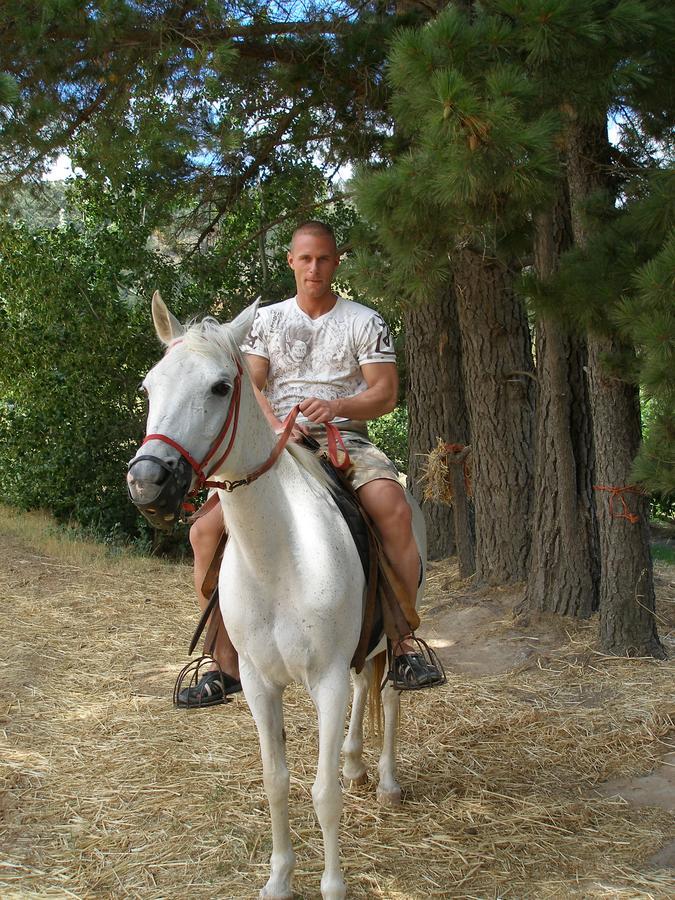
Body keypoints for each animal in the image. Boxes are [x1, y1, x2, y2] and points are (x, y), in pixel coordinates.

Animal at [127, 296, 428, 900]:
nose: (147, 481)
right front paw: (279, 880)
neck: (280, 558)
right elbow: (276, 782)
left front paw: (332, 886)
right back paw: (356, 764)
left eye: (221, 387)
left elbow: (322, 793)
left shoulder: (326, 681)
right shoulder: (260, 684)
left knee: (389, 692)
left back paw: (385, 779)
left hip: (394, 623)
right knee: (367, 685)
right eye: (149, 386)